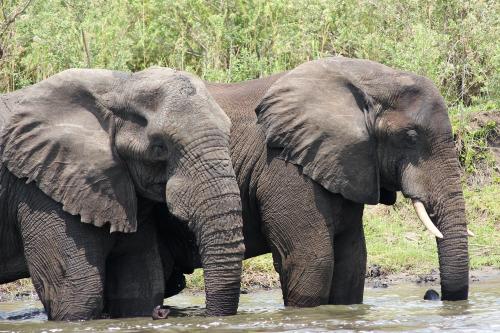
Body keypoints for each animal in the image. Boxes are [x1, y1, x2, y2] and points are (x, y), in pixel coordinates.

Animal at [0, 67, 244, 320]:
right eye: (159, 147)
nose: (162, 313)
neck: (120, 86)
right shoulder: (42, 190)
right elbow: (75, 295)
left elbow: (139, 285)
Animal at [157, 55, 472, 308]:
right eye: (410, 137)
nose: (431, 294)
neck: (363, 79)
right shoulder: (284, 166)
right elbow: (312, 260)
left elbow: (352, 261)